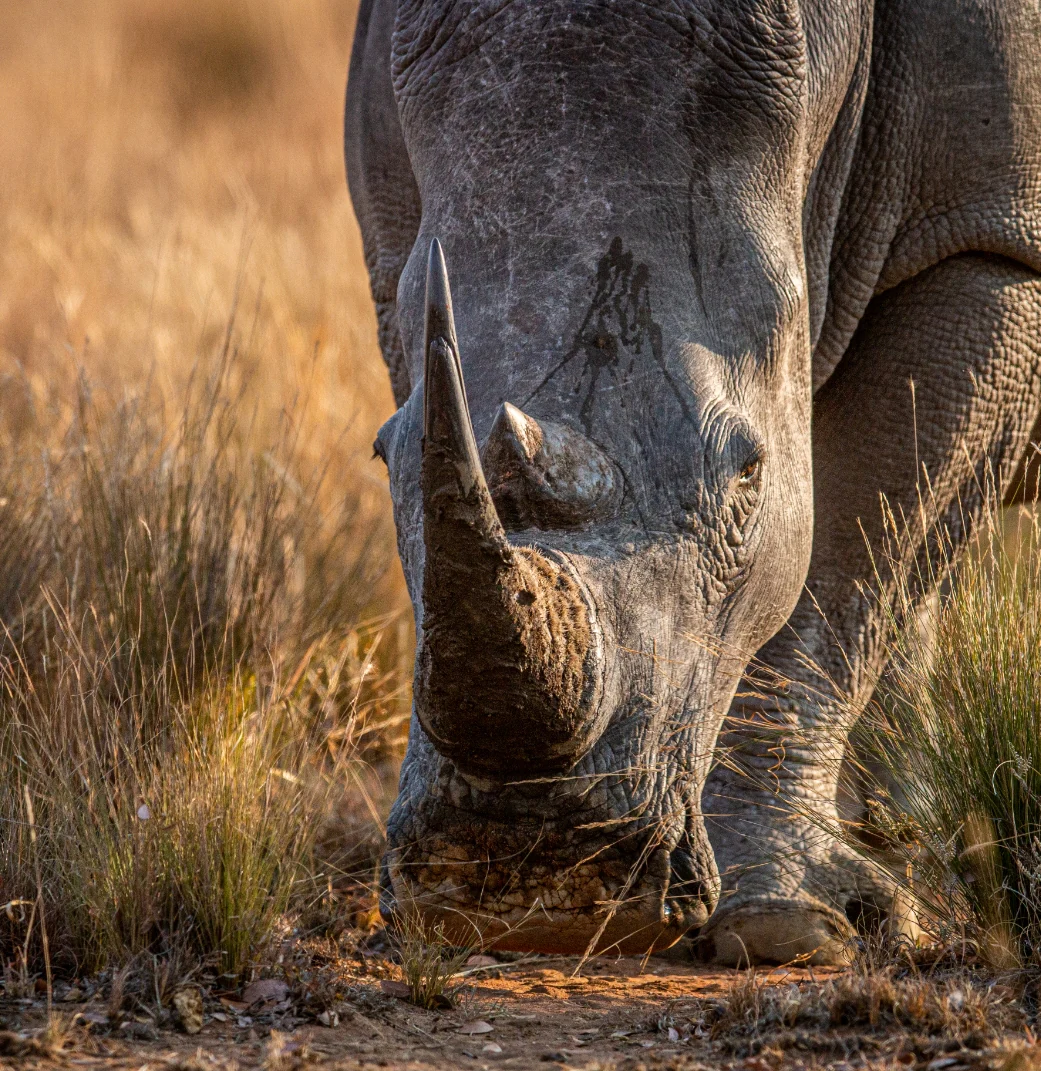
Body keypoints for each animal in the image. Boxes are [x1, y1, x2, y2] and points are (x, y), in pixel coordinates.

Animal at [345, 0, 1041, 964]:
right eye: (383, 458)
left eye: (747, 476)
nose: (529, 884)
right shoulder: (391, 260)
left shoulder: (992, 244)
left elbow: (851, 565)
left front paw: (785, 927)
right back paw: (902, 836)